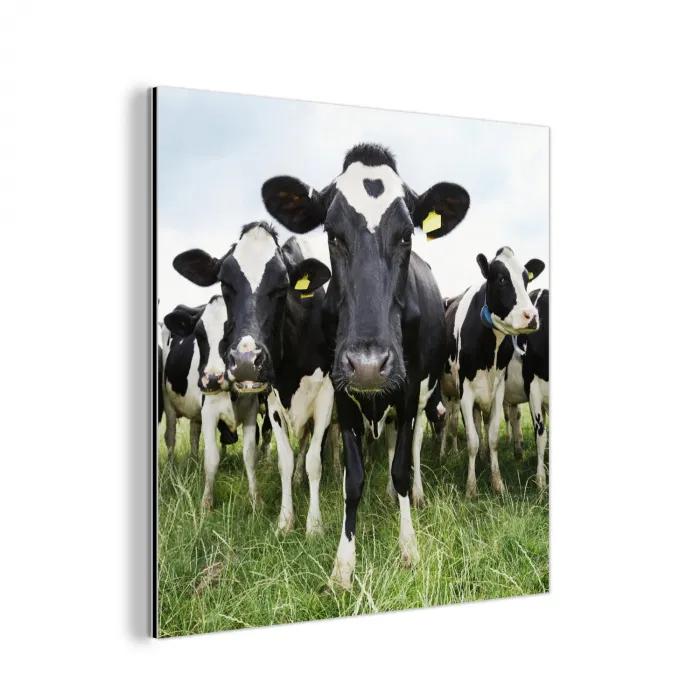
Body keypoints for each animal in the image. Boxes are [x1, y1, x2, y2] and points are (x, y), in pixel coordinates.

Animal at [172, 222, 335, 536]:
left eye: (283, 285)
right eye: (225, 282)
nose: (247, 362)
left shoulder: (325, 397)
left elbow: (314, 461)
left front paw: (314, 526)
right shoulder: (271, 400)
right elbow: (285, 461)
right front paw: (285, 521)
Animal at [261, 143, 471, 589]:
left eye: (406, 234)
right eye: (332, 234)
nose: (370, 365)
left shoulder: (408, 392)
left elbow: (402, 467)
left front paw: (409, 547)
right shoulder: (341, 394)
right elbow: (352, 478)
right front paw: (343, 565)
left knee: (410, 447)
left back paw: (411, 497)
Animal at [442, 247, 545, 497]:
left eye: (526, 279)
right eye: (501, 279)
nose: (532, 316)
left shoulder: (497, 391)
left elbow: (493, 437)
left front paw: (497, 483)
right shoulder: (465, 393)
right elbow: (472, 440)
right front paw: (471, 488)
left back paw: (484, 457)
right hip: (446, 393)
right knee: (448, 423)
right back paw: (445, 453)